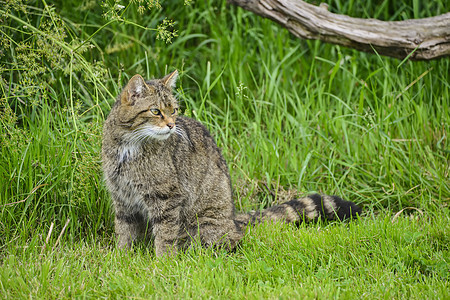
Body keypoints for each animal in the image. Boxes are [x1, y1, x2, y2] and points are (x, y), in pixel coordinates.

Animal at [102, 70, 362, 255]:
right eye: (156, 111)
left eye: (174, 110)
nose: (171, 125)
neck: (129, 147)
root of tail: (233, 219)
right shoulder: (121, 197)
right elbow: (124, 231)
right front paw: (122, 258)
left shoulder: (167, 197)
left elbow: (165, 234)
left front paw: (163, 263)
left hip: (202, 226)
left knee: (229, 242)